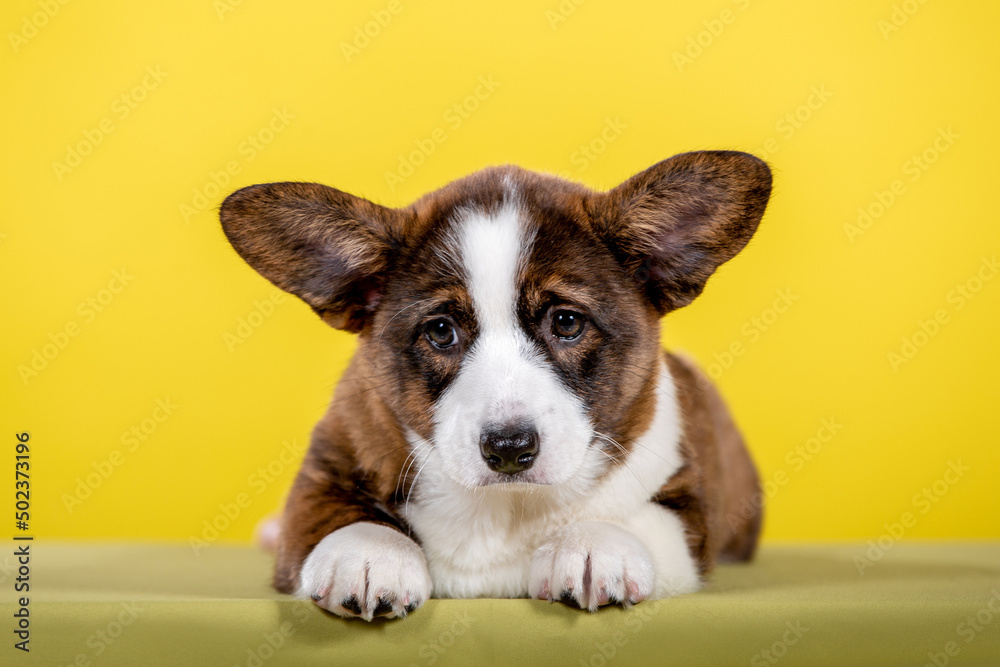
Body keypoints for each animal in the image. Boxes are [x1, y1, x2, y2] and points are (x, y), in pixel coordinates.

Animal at [223, 150, 768, 620]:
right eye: (441, 331)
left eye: (566, 322)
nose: (509, 449)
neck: (504, 506)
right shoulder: (324, 469)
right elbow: (338, 517)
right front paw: (369, 555)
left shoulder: (688, 507)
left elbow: (633, 519)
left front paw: (591, 546)